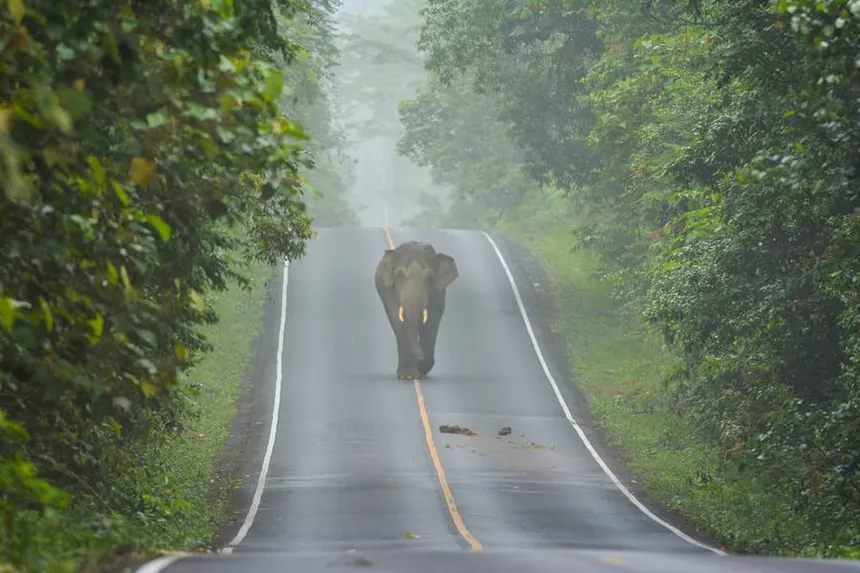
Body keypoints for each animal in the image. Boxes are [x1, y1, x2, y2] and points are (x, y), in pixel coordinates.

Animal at [374, 240, 460, 380]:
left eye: (430, 278)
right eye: (399, 276)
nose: (420, 360)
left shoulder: (438, 293)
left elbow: (431, 322)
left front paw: (420, 369)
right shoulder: (389, 290)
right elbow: (397, 320)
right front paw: (407, 376)